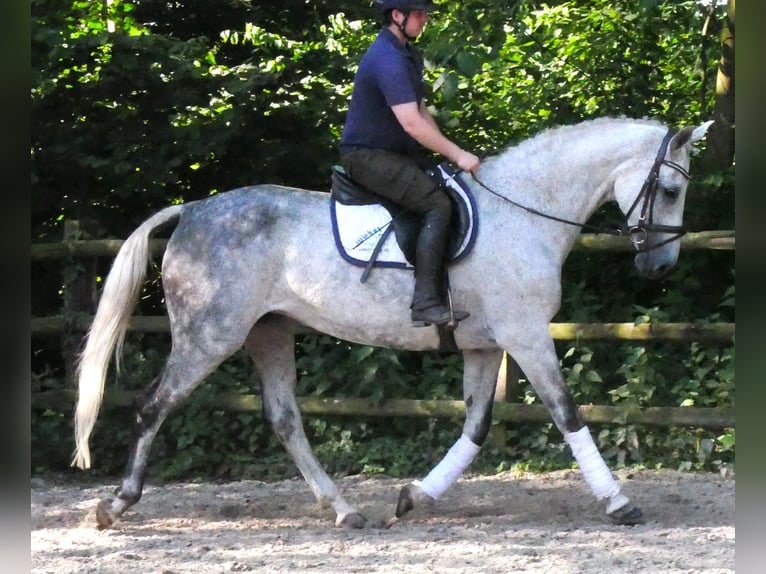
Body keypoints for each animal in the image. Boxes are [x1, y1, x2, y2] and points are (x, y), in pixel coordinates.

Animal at [72, 116, 713, 530]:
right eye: (670, 189)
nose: (659, 267)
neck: (524, 212)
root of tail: (194, 209)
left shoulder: (486, 347)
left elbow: (476, 427)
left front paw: (415, 497)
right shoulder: (527, 337)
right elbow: (568, 413)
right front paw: (619, 503)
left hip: (269, 332)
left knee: (284, 419)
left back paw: (344, 510)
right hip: (211, 336)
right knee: (153, 404)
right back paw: (115, 505)